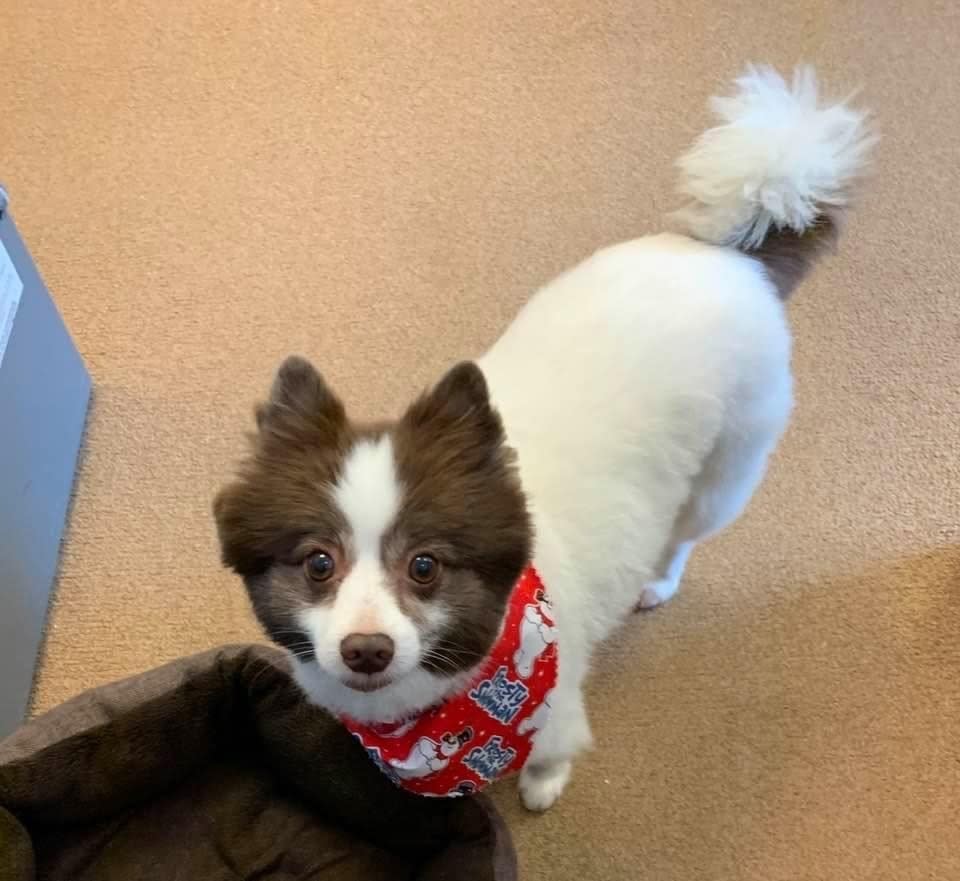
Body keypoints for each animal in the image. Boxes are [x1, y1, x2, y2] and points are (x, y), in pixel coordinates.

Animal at [214, 67, 872, 812]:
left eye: (425, 566)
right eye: (318, 563)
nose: (366, 648)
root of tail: (732, 257)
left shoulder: (556, 707)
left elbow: (548, 759)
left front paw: (541, 784)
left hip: (726, 468)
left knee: (685, 532)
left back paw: (658, 581)